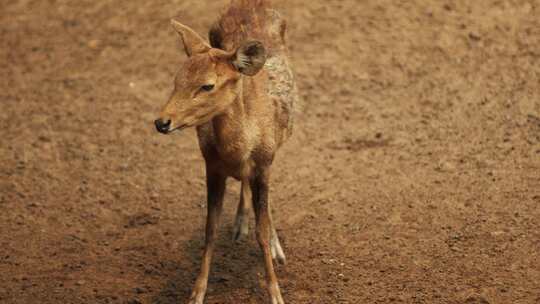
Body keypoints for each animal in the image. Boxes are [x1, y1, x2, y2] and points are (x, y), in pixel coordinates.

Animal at [152, 1, 298, 302]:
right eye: (176, 80)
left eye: (207, 85)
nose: (162, 122)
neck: (238, 152)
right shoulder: (211, 165)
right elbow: (210, 230)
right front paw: (196, 293)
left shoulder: (264, 164)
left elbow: (261, 231)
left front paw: (276, 293)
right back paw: (240, 224)